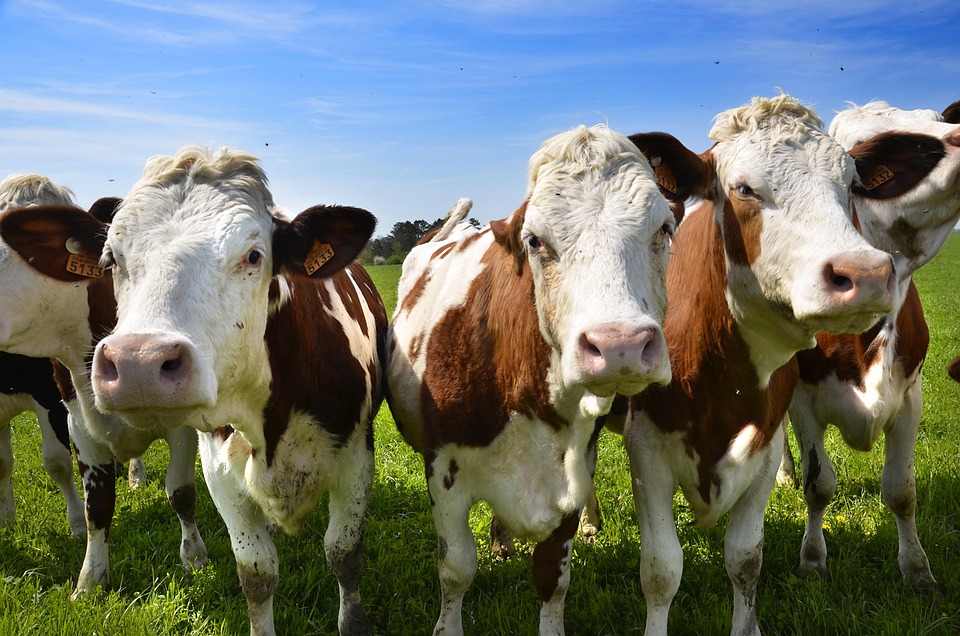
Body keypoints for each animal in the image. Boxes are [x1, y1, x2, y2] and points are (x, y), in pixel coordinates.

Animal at [73, 146, 386, 636]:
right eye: (112, 260)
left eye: (254, 255)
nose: (138, 364)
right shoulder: (219, 469)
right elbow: (256, 573)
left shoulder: (356, 459)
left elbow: (343, 553)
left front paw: (353, 620)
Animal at [387, 124, 677, 635]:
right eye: (535, 241)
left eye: (664, 228)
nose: (619, 345)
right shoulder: (442, 470)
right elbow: (456, 568)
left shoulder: (570, 472)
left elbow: (552, 578)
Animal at [621, 94, 937, 636]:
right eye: (743, 189)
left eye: (851, 185)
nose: (864, 274)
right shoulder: (645, 449)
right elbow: (661, 571)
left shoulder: (768, 445)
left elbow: (746, 559)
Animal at [781, 99, 960, 595]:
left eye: (937, 121)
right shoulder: (804, 399)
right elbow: (819, 485)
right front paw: (812, 560)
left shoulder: (911, 395)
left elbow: (901, 491)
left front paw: (917, 570)